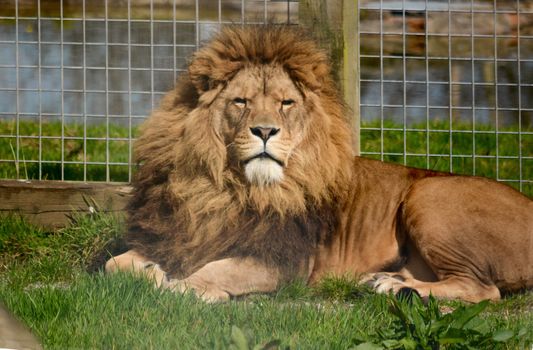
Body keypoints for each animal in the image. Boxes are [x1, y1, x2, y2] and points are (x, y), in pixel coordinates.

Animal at [104, 25, 532, 304]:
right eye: (241, 101)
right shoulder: (173, 236)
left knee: (484, 289)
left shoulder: (284, 261)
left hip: (429, 196)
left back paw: (400, 289)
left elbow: (213, 272)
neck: (225, 188)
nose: (265, 130)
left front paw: (179, 285)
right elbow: (112, 265)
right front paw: (150, 270)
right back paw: (386, 279)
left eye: (286, 103)